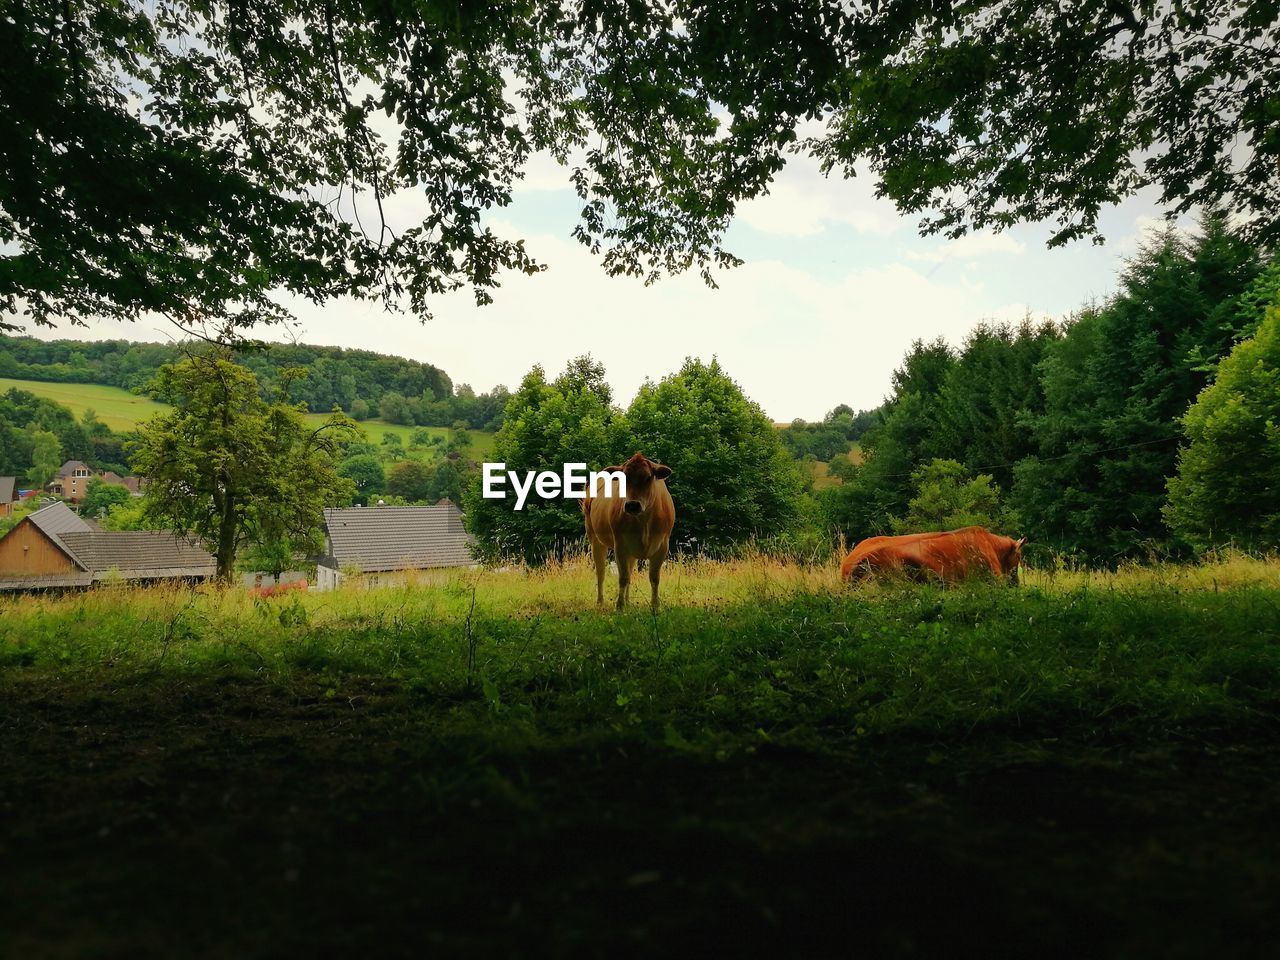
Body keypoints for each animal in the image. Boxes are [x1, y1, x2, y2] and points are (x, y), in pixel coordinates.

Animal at [583, 453, 675, 611]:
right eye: (623, 478)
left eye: (648, 478)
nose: (632, 505)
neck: (643, 521)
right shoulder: (620, 545)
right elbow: (623, 577)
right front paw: (619, 606)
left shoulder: (663, 545)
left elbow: (654, 577)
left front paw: (655, 606)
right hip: (595, 538)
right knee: (601, 572)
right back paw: (600, 601)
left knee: (630, 572)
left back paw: (627, 601)